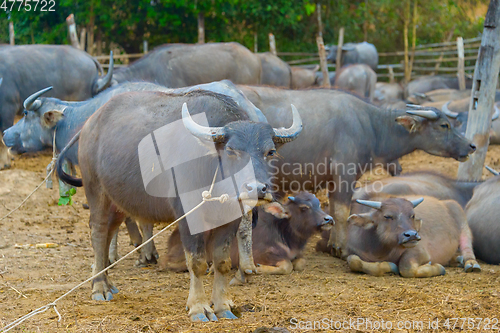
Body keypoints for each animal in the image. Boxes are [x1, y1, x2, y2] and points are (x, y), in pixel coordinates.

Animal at [56, 89, 302, 320]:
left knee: (109, 231)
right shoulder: (187, 216)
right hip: (96, 190)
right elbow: (197, 263)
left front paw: (222, 306)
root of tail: (90, 124)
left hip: (118, 201)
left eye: (270, 151)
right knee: (98, 232)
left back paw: (108, 282)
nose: (256, 188)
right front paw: (199, 308)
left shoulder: (230, 218)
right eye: (232, 151)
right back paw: (99, 287)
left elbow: (222, 262)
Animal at [237, 85, 476, 256]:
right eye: (444, 125)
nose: (471, 146)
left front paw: (332, 243)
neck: (371, 127)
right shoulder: (345, 174)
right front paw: (340, 248)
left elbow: (334, 209)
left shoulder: (334, 180)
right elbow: (342, 211)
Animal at [342, 195, 478, 278]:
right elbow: (353, 261)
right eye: (387, 216)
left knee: (467, 245)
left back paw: (471, 264)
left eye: (412, 215)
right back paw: (457, 260)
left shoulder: (420, 251)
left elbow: (407, 267)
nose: (412, 235)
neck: (380, 251)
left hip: (463, 223)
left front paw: (438, 268)